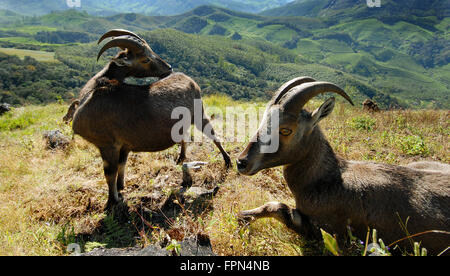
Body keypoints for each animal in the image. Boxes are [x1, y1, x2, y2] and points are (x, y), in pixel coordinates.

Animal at [71, 29, 232, 207]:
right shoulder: (123, 145)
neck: (92, 93)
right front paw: (121, 188)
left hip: (199, 114)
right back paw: (181, 157)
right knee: (184, 136)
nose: (169, 67)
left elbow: (110, 174)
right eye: (146, 59)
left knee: (213, 135)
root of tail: (190, 80)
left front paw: (112, 201)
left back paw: (228, 161)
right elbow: (121, 166)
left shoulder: (108, 144)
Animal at [237, 77, 448, 254]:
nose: (241, 162)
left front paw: (243, 221)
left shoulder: (329, 231)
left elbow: (278, 207)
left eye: (286, 130)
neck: (327, 178)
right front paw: (243, 217)